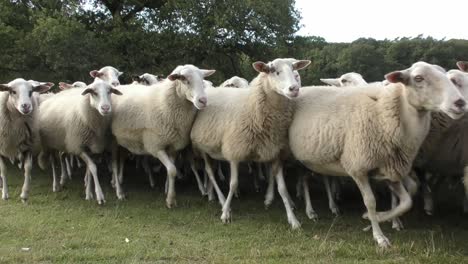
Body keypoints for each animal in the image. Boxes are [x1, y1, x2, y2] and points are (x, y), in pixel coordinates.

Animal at [110, 63, 215, 206]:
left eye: (203, 80)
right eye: (184, 79)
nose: (203, 100)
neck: (164, 103)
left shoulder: (173, 147)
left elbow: (172, 171)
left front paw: (168, 191)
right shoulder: (156, 146)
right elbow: (172, 170)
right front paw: (170, 200)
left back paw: (116, 182)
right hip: (112, 140)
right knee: (114, 165)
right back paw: (119, 192)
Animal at [190, 58, 310, 229]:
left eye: (295, 71)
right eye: (275, 71)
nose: (294, 89)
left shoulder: (274, 153)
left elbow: (282, 188)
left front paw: (293, 220)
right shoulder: (234, 151)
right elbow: (233, 183)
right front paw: (226, 212)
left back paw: (212, 193)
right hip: (203, 148)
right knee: (210, 172)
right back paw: (217, 197)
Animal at [290, 62, 466, 248]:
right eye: (418, 78)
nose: (460, 103)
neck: (382, 112)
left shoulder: (389, 169)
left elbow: (407, 200)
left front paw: (379, 218)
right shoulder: (358, 168)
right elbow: (370, 202)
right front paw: (379, 235)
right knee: (304, 181)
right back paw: (309, 211)